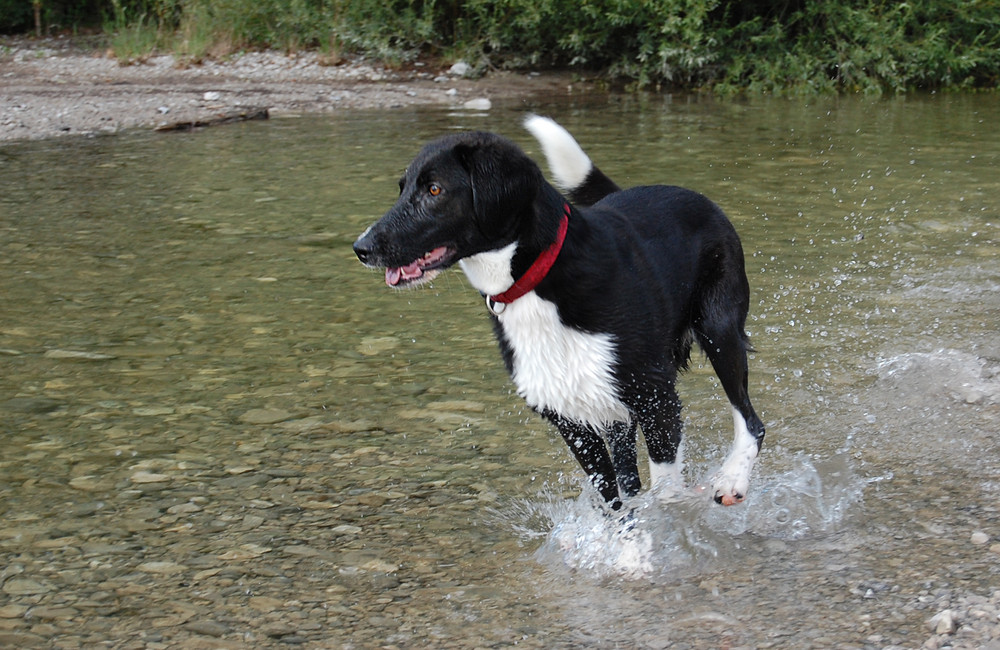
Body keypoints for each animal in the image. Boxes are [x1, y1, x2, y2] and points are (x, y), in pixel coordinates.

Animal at [352, 116, 764, 512]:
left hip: (717, 331)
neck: (535, 283)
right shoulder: (573, 421)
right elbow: (615, 505)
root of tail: (693, 196)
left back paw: (732, 480)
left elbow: (664, 495)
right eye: (402, 188)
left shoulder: (656, 397)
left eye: (434, 190)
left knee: (750, 420)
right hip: (614, 405)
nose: (361, 247)